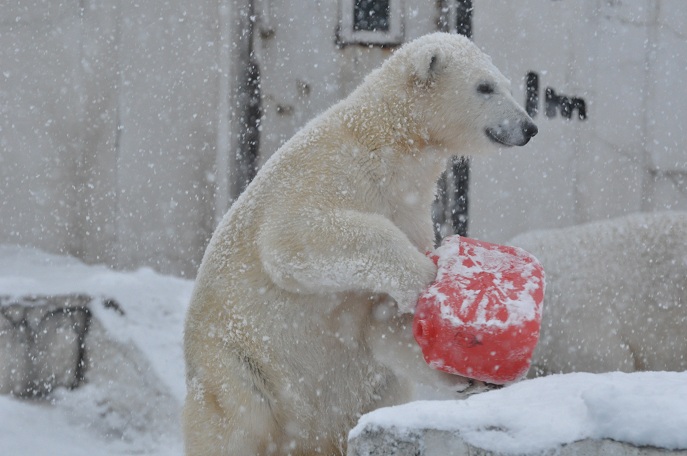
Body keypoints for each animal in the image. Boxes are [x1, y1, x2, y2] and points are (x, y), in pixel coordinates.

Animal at [185, 33, 540, 456]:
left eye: (505, 83)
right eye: (485, 86)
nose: (529, 127)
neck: (388, 138)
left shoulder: (410, 209)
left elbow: (382, 317)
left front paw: (475, 373)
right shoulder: (331, 172)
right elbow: (294, 237)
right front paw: (428, 278)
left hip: (366, 393)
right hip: (239, 365)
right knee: (237, 422)